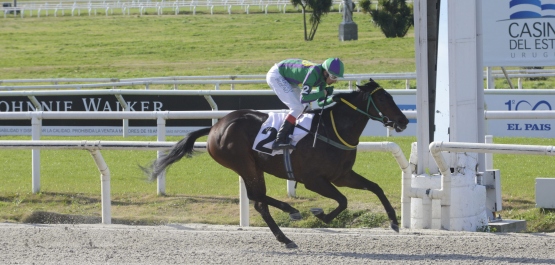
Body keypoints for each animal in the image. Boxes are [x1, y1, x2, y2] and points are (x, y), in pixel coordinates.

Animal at [146, 79, 410, 248]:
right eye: (384, 98)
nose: (404, 120)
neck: (332, 130)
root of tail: (215, 127)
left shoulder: (342, 175)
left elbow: (375, 188)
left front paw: (394, 222)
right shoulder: (314, 180)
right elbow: (343, 200)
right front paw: (321, 215)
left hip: (252, 167)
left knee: (258, 200)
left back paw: (287, 225)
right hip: (244, 164)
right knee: (257, 200)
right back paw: (289, 221)